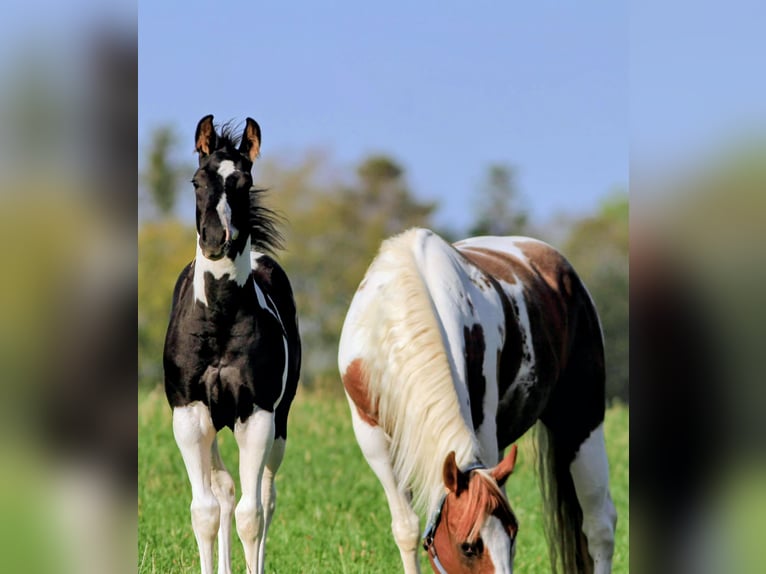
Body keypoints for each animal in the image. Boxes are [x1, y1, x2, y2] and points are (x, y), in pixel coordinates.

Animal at [163, 115, 301, 574]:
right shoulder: (189, 414)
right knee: (223, 490)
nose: (214, 239)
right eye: (196, 180)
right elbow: (204, 511)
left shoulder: (257, 416)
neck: (219, 319)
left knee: (265, 498)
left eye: (244, 180)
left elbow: (251, 515)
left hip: (278, 422)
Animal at [338, 228, 616, 574]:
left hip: (583, 422)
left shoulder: (482, 427)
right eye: (467, 547)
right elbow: (406, 529)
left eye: (513, 532)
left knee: (600, 525)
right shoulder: (373, 438)